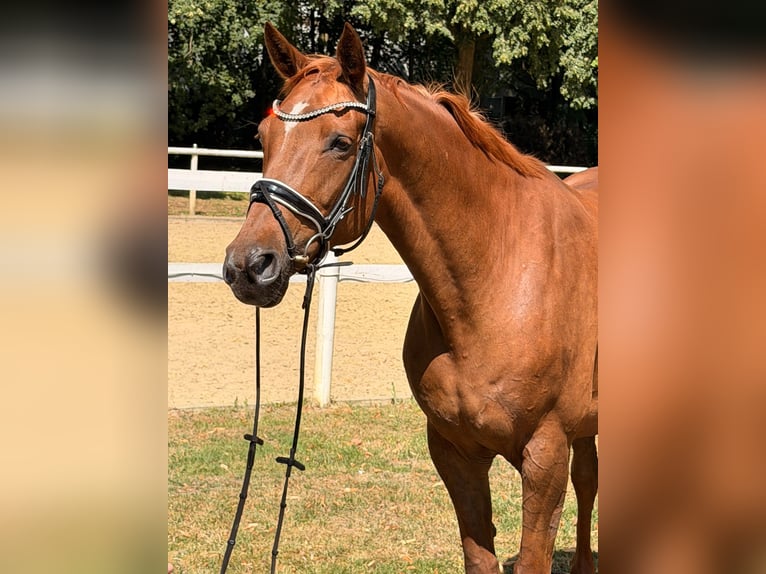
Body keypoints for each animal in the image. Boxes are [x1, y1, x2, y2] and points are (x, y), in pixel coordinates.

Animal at [223, 23, 598, 574]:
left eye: (340, 142)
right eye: (263, 139)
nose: (247, 265)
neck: (497, 278)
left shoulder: (545, 456)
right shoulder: (454, 451)